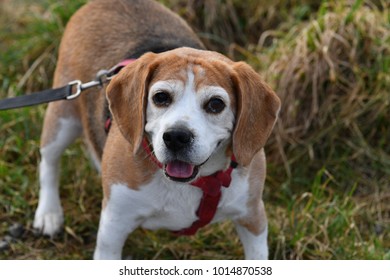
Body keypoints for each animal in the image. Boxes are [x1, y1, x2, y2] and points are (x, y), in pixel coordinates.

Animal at [31, 0, 280, 260]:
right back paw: (49, 213)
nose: (176, 137)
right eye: (160, 97)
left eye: (216, 104)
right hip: (63, 117)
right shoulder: (113, 228)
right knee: (49, 161)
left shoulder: (253, 217)